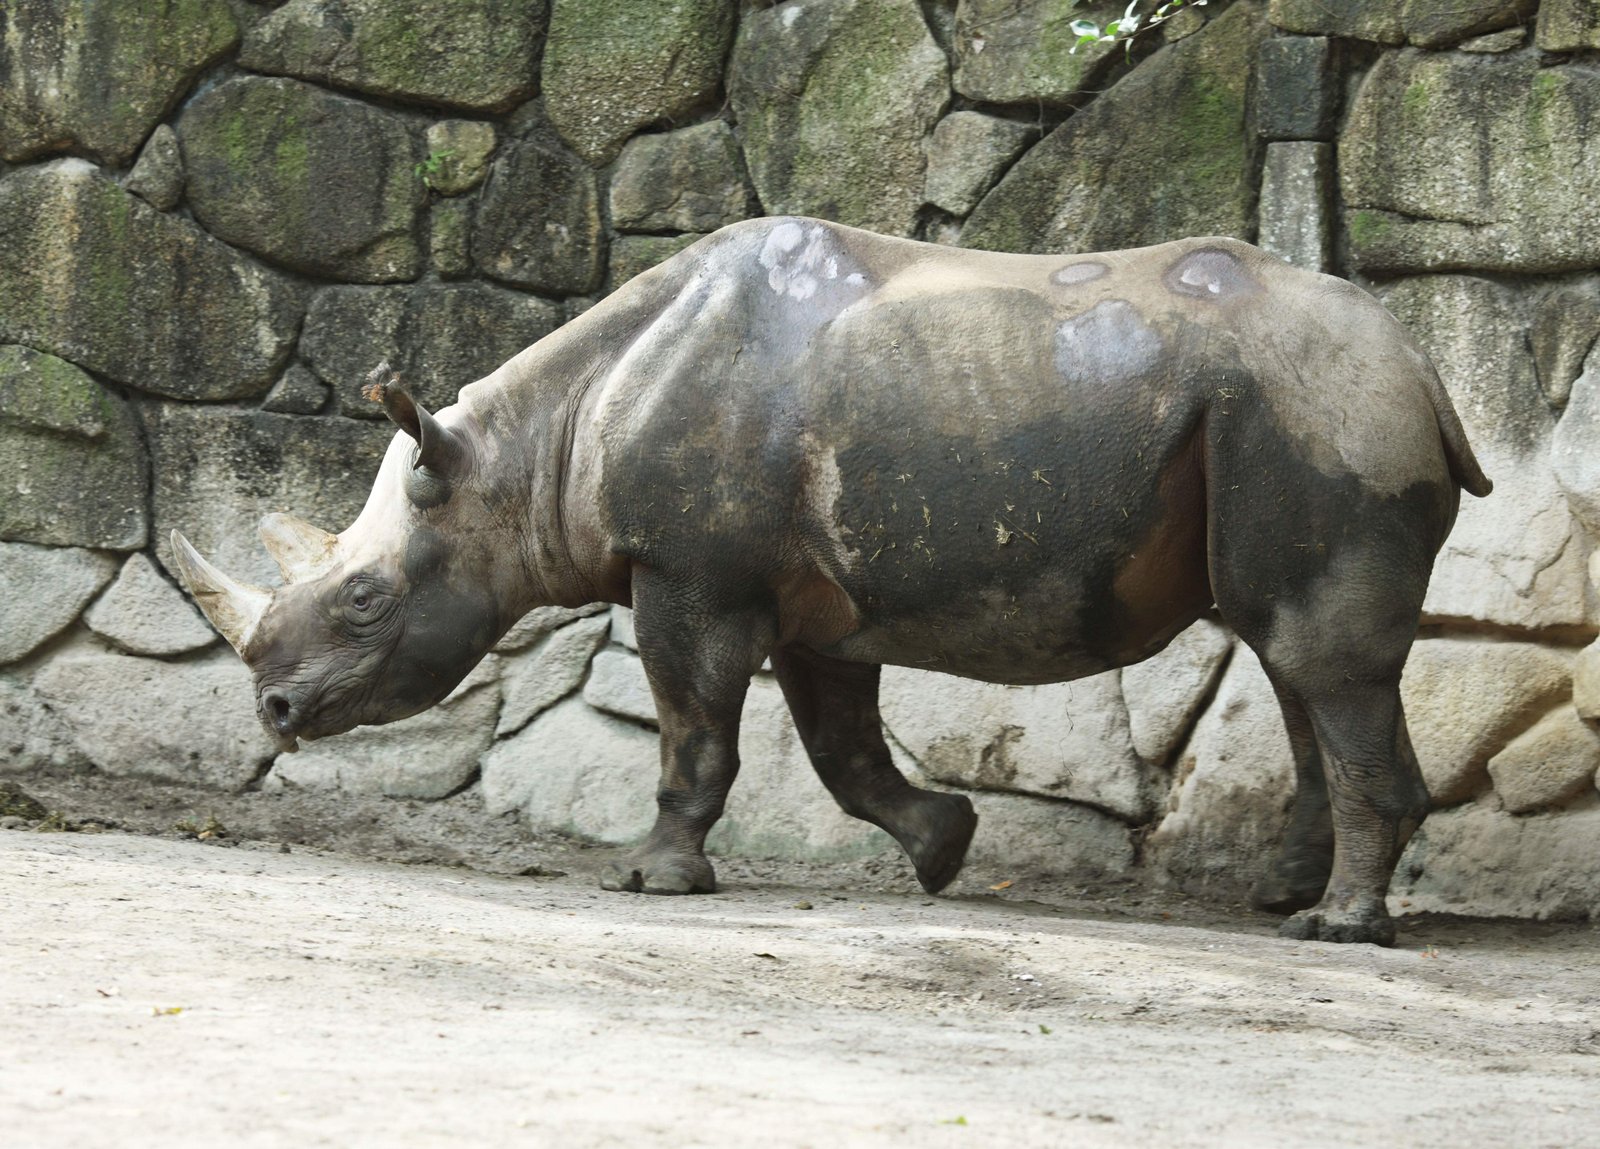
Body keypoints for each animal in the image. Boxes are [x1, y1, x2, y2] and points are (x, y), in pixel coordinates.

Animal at [172, 217, 1491, 946]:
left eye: (365, 601)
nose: (273, 711)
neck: (530, 448)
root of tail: (1425, 370)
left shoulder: (692, 573)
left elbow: (695, 729)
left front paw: (653, 881)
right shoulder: (810, 601)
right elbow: (839, 748)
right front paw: (944, 850)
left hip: (1319, 414)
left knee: (1319, 660)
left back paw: (1339, 928)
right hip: (1299, 410)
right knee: (1291, 661)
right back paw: (1284, 900)